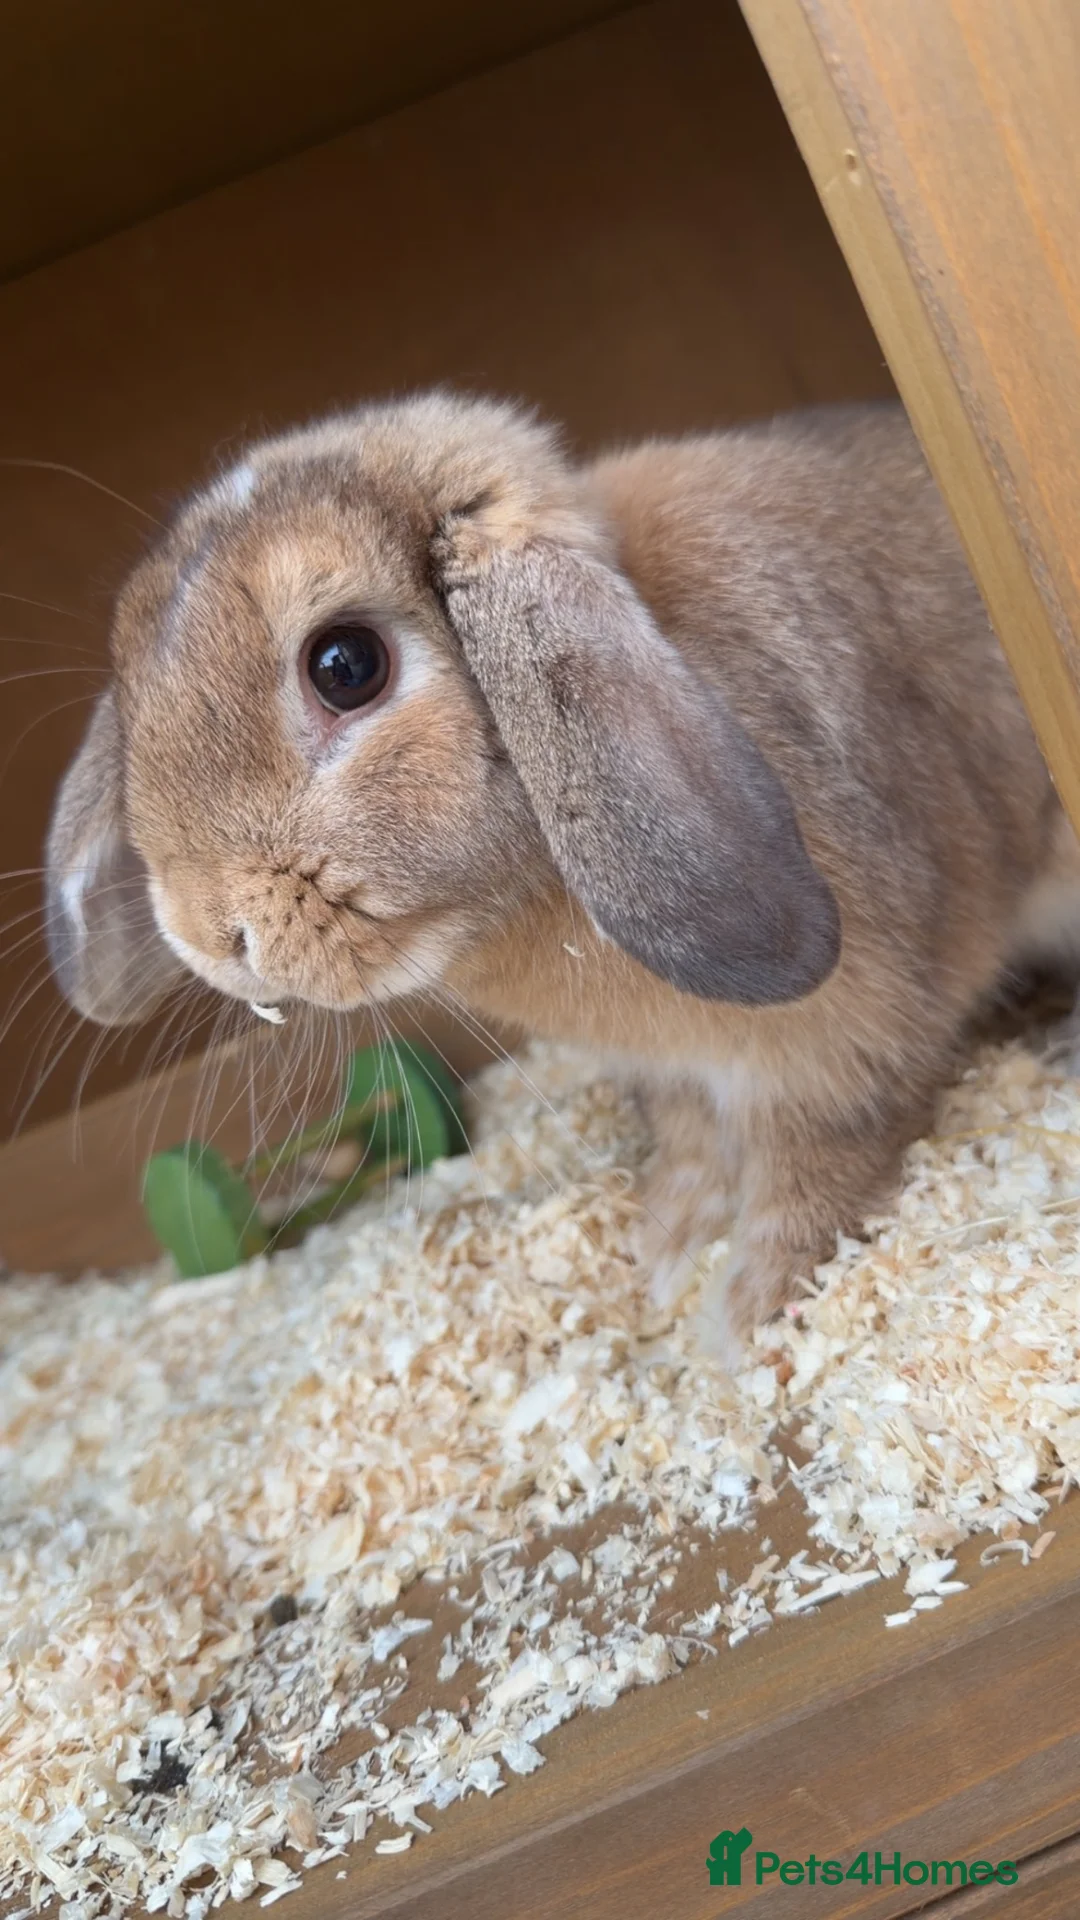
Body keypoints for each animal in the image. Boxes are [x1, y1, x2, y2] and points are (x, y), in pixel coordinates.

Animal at [45, 390, 1080, 1364]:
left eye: (346, 666)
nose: (211, 930)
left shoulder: (844, 1051)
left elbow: (813, 1165)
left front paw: (746, 1313)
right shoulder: (683, 1075)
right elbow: (696, 1146)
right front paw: (666, 1250)